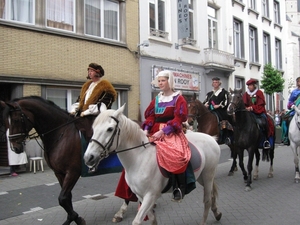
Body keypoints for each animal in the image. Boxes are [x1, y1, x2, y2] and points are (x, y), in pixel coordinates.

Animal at [0, 96, 92, 224]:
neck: (62, 133)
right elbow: (67, 198)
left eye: (16, 120)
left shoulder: (73, 172)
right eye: (5, 122)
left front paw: (77, 218)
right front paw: (72, 219)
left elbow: (63, 198)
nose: (15, 148)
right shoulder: (59, 172)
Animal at [83, 104, 221, 225]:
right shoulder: (141, 196)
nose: (88, 157)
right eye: (93, 129)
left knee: (207, 200)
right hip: (201, 177)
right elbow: (152, 219)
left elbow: (137, 221)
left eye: (110, 129)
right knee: (212, 195)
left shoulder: (150, 195)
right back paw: (217, 213)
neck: (140, 158)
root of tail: (211, 138)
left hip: (208, 175)